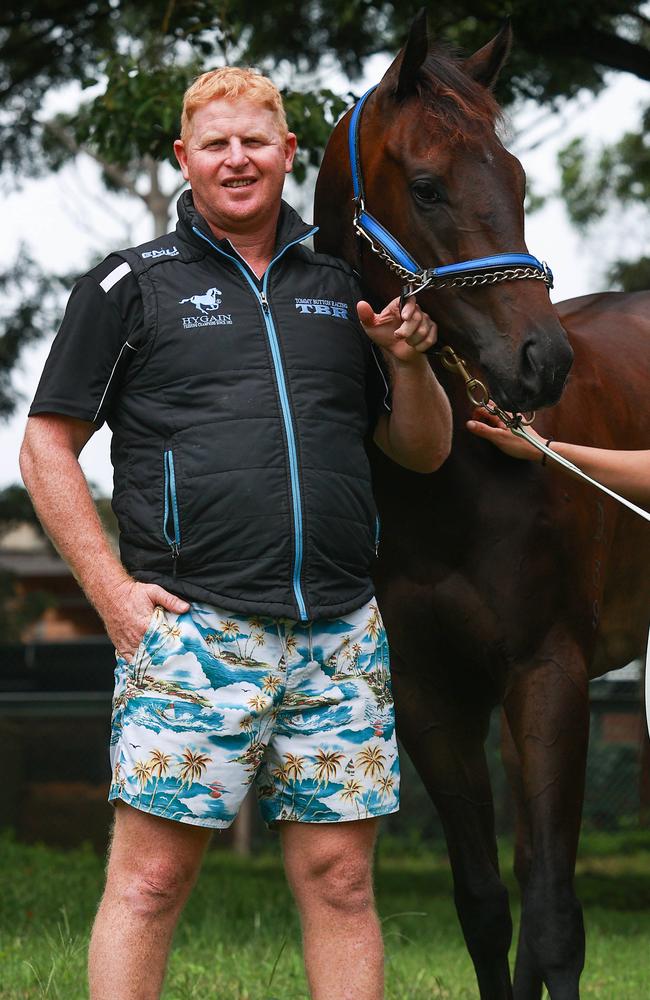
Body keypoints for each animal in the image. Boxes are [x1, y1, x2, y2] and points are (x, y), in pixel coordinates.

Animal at [314, 13, 648, 1000]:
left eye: (517, 178)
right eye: (427, 186)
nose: (542, 363)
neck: (450, 492)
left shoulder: (549, 674)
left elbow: (554, 916)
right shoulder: (433, 696)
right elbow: (488, 907)